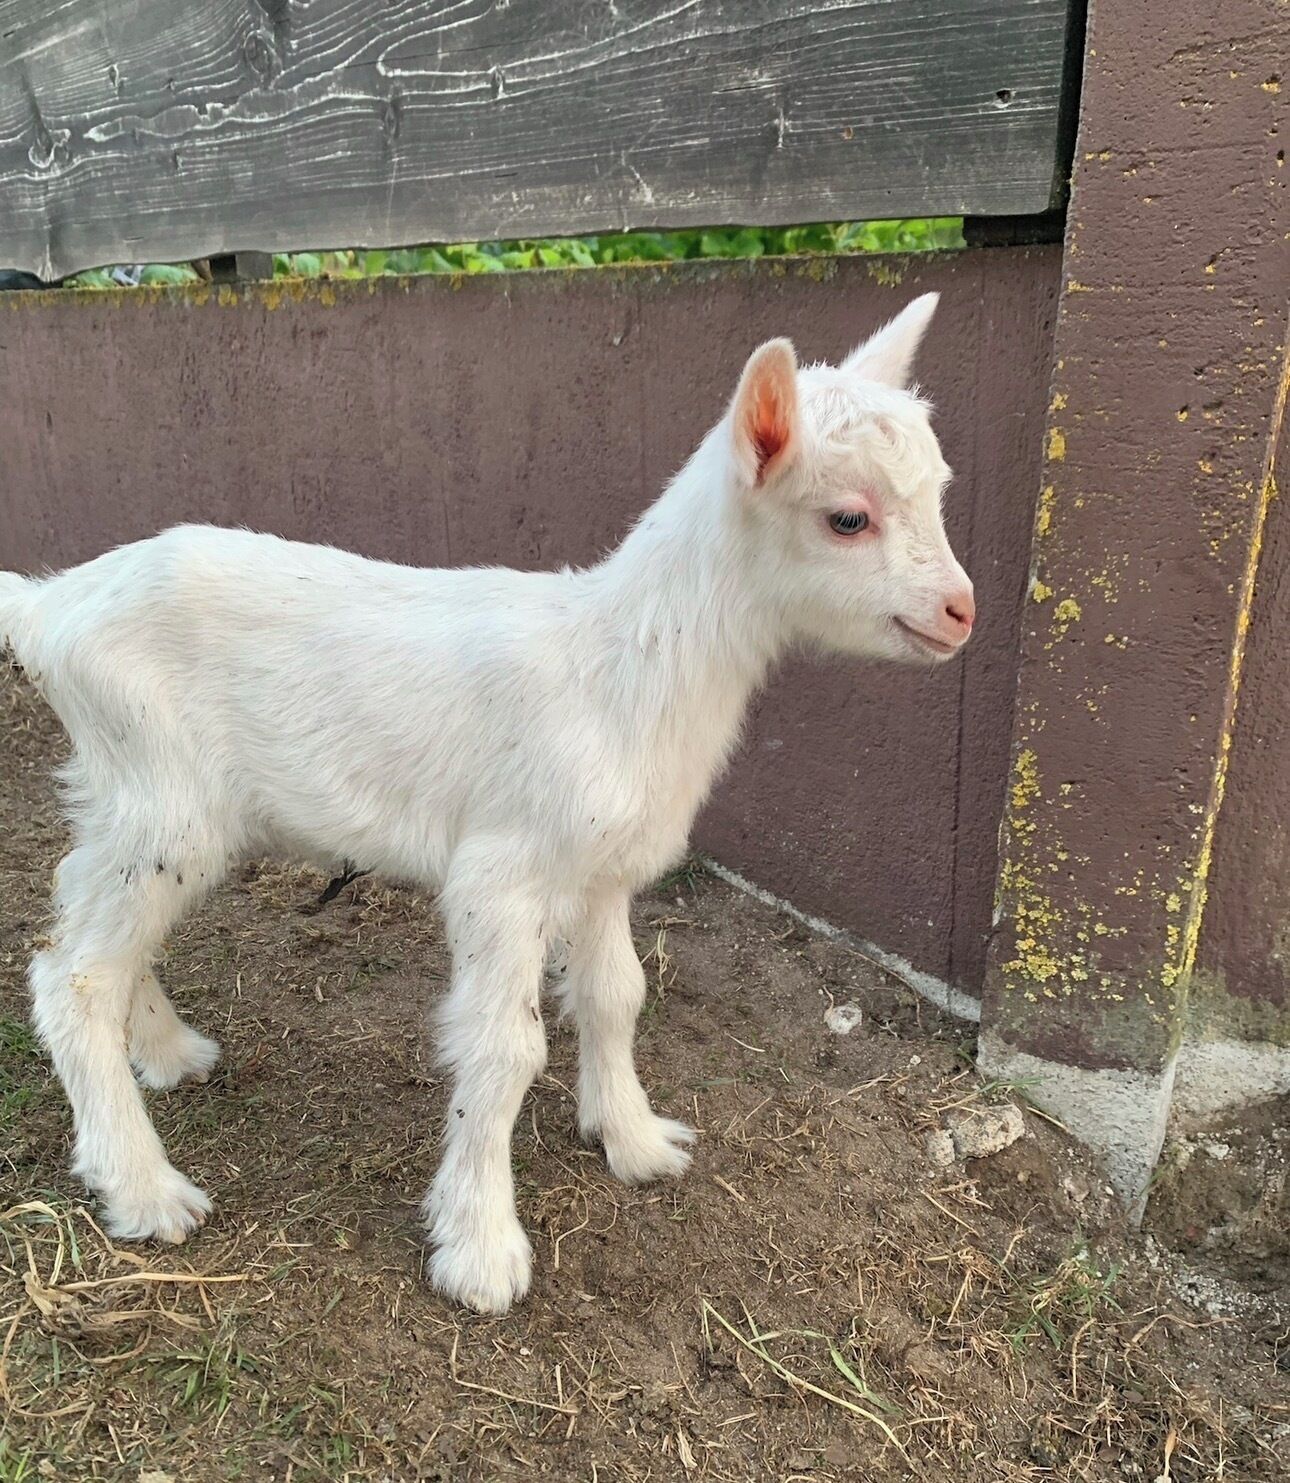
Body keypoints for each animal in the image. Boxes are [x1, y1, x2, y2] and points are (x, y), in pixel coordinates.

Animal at [0, 294, 974, 1313]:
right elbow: (503, 1050)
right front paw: (479, 1249)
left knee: (90, 921)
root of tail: (45, 605)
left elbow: (617, 995)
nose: (963, 611)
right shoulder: (502, 873)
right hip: (161, 793)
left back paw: (167, 1052)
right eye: (848, 517)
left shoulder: (602, 870)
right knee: (71, 977)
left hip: (135, 795)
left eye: (939, 490)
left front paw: (633, 1139)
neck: (625, 665)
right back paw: (146, 1189)